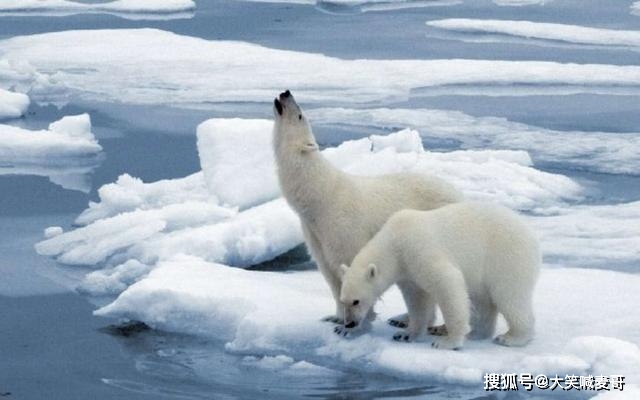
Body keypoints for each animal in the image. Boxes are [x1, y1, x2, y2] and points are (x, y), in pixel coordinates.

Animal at [272, 89, 462, 324]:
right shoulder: (315, 234)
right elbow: (330, 274)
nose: (286, 92)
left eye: (300, 115)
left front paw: (360, 317)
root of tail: (459, 194)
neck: (320, 195)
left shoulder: (343, 228)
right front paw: (334, 317)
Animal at [340, 202, 540, 348]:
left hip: (506, 257)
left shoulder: (419, 249)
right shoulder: (407, 271)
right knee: (482, 300)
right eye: (343, 301)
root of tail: (530, 234)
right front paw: (405, 334)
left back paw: (511, 338)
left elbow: (448, 282)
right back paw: (477, 333)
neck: (394, 242)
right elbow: (417, 299)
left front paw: (448, 342)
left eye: (356, 301)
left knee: (510, 295)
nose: (349, 323)